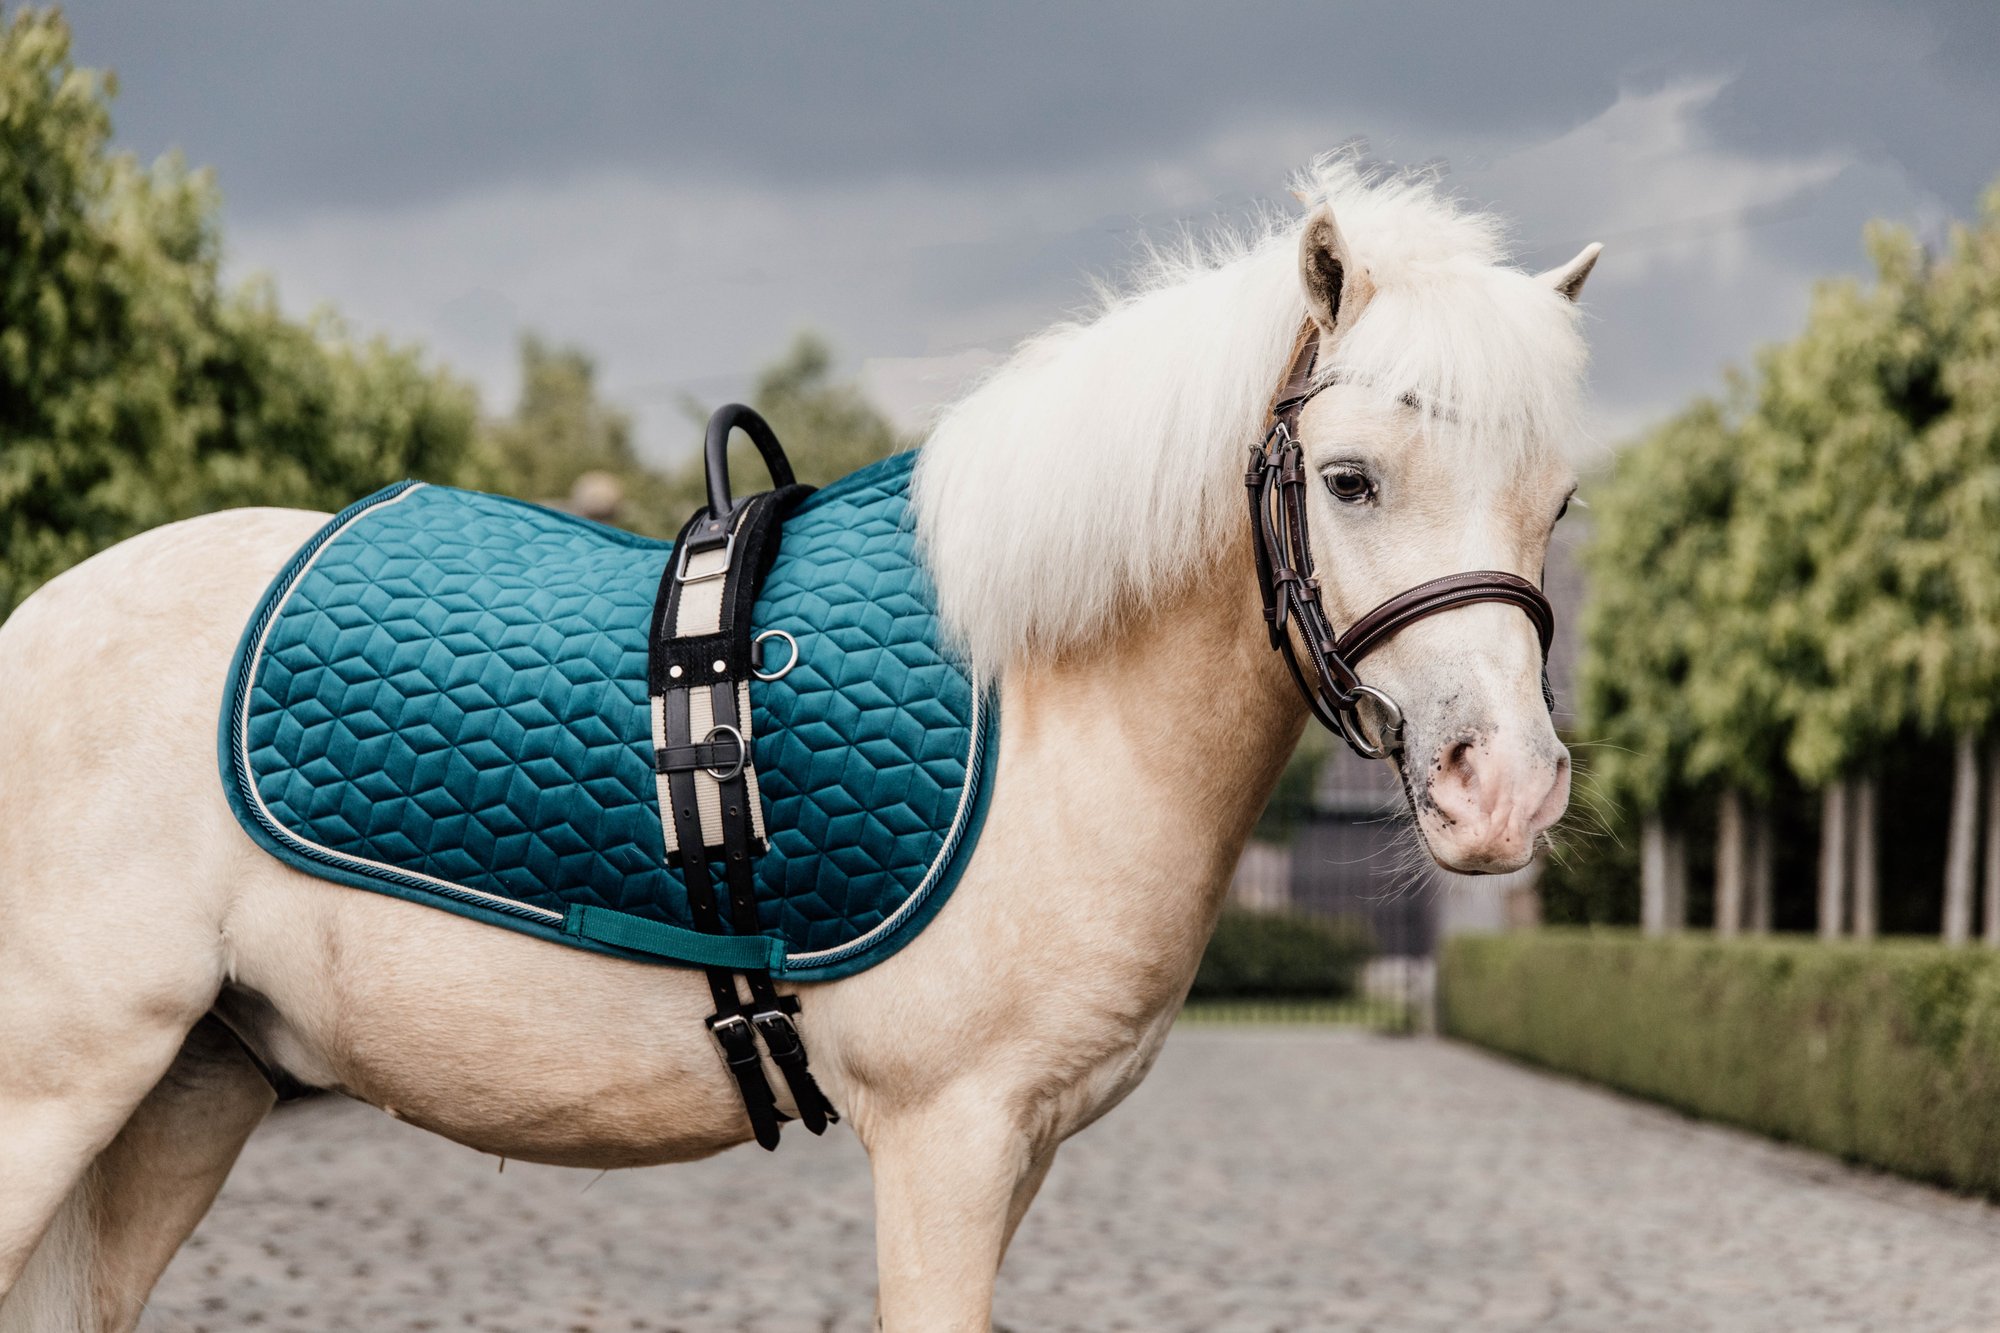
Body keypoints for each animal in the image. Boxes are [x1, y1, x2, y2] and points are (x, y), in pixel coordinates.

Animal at [0, 158, 1599, 1332]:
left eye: (1562, 500)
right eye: (1350, 479)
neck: (1047, 710)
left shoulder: (1019, 1147)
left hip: (190, 1090)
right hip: (57, 1083)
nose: (1504, 790)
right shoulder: (949, 1137)